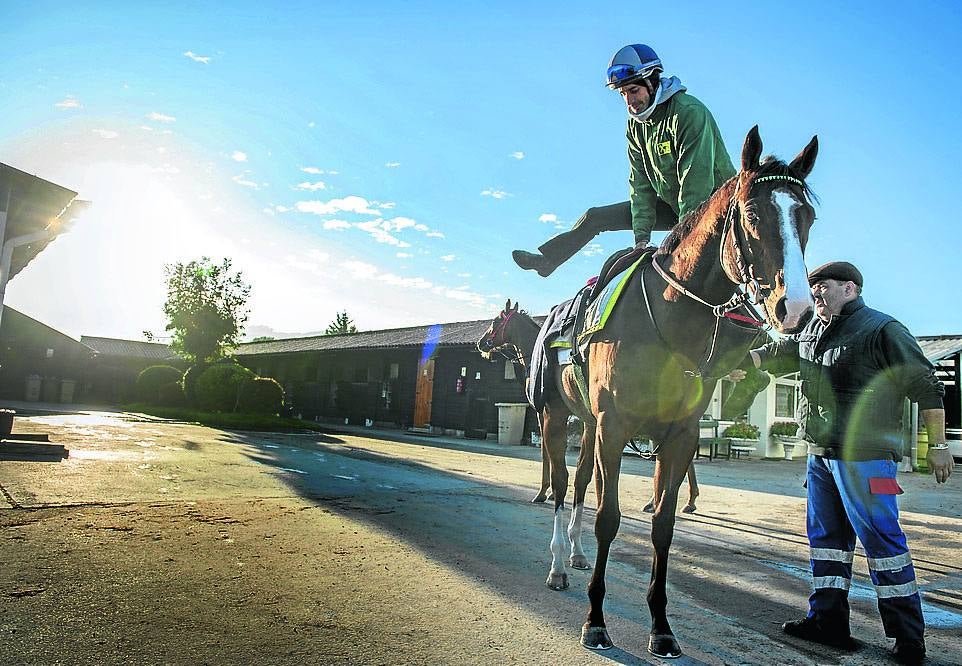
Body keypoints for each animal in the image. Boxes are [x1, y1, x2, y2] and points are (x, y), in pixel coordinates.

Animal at [502, 127, 816, 656]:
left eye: (807, 217)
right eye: (753, 214)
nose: (795, 307)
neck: (667, 316)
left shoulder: (679, 436)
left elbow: (663, 526)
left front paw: (661, 626)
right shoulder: (615, 427)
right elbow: (609, 517)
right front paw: (595, 621)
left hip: (586, 424)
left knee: (580, 483)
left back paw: (578, 554)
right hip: (555, 416)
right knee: (563, 486)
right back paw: (559, 564)